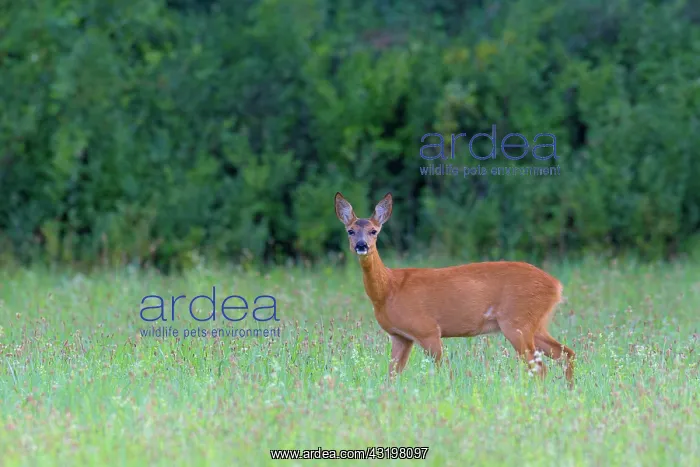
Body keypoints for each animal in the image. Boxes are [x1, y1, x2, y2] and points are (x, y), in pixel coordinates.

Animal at [334, 191, 576, 387]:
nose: (362, 246)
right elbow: (391, 376)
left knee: (540, 367)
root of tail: (556, 285)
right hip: (535, 324)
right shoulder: (400, 336)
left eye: (374, 231)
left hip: (517, 322)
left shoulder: (428, 329)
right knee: (567, 353)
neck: (388, 290)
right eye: (350, 231)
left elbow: (444, 372)